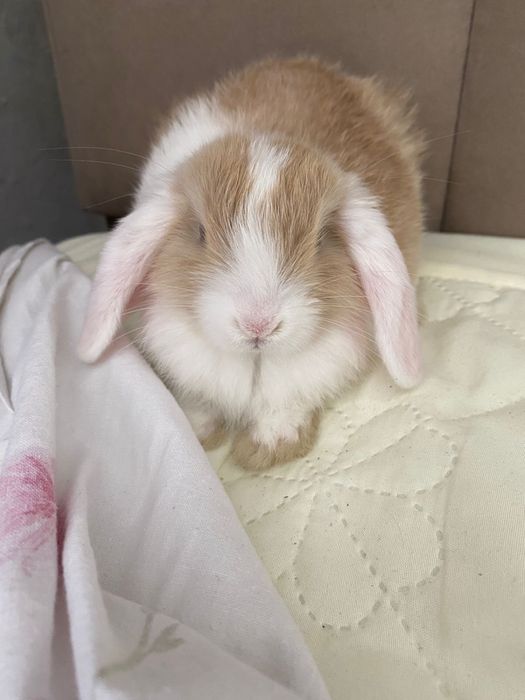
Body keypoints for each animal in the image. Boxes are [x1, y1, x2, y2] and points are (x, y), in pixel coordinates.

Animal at [78, 56, 424, 470]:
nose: (258, 324)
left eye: (321, 238)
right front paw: (197, 431)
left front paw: (269, 447)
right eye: (200, 232)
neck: (252, 362)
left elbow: (282, 406)